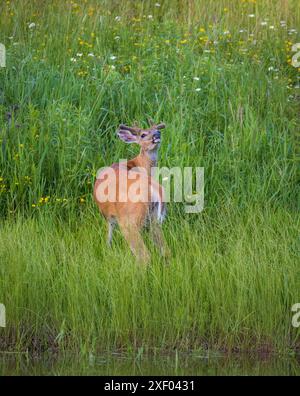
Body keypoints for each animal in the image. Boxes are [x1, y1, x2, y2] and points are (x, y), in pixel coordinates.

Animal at [94, 120, 169, 262]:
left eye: (156, 130)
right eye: (143, 134)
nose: (157, 133)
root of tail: (154, 188)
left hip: (130, 221)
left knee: (144, 256)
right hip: (154, 220)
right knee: (165, 250)